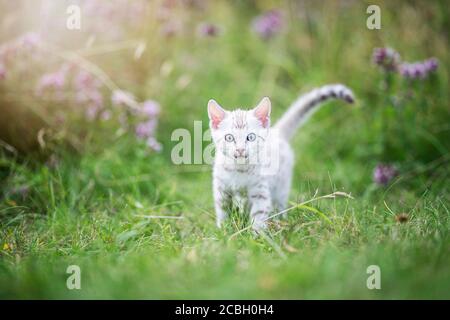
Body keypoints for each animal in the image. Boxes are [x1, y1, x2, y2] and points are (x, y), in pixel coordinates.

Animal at [208, 85, 356, 230]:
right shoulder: (221, 189)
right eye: (229, 138)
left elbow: (259, 213)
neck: (239, 169)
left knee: (279, 204)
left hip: (281, 187)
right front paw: (223, 230)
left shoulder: (260, 191)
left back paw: (280, 220)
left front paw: (257, 233)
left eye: (250, 137)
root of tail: (277, 132)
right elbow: (223, 210)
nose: (240, 150)